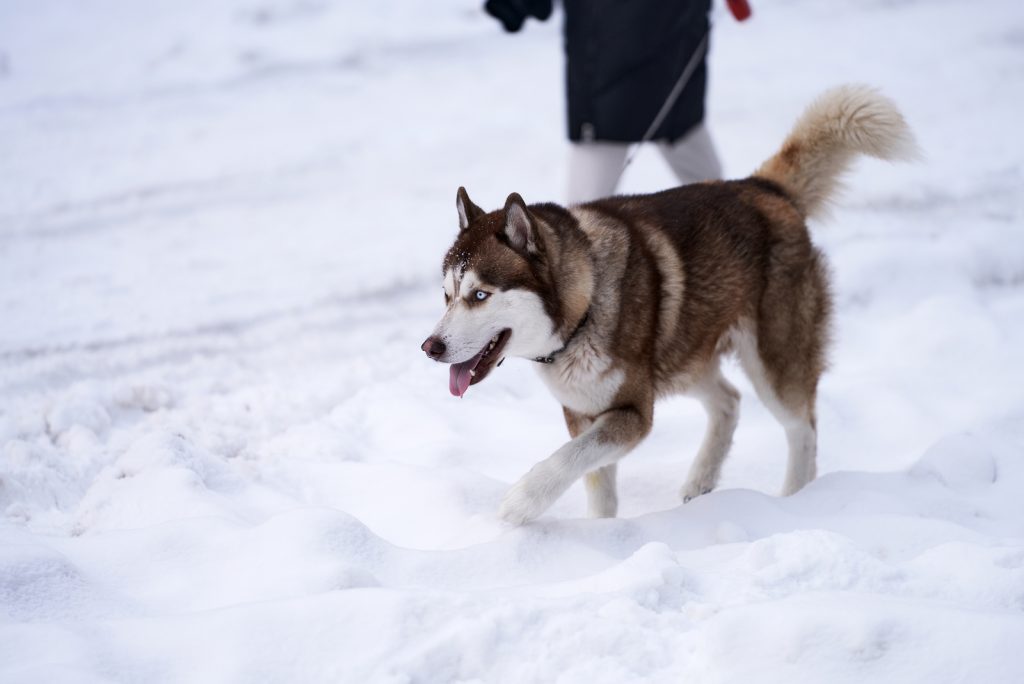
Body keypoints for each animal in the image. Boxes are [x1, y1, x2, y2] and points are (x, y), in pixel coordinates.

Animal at [419, 87, 917, 524]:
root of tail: (762, 187)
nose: (431, 347)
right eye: (446, 295)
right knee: (729, 401)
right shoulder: (583, 411)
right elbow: (596, 482)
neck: (584, 309)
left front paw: (521, 503)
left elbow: (567, 459)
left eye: (480, 295)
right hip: (683, 356)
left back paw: (796, 499)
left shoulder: (632, 412)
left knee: (802, 429)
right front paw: (599, 533)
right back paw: (702, 480)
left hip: (773, 360)